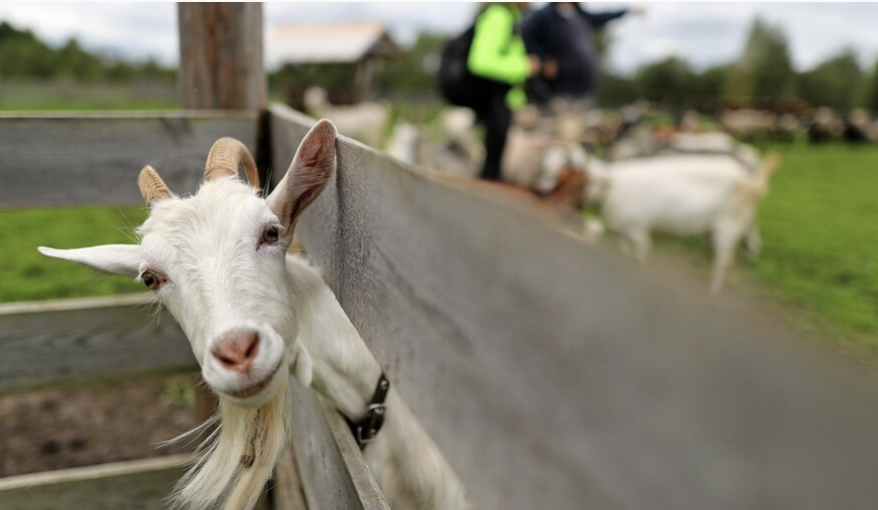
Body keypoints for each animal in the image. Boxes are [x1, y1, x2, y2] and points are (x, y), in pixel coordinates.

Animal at [583, 151, 781, 294]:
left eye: (591, 181)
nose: (585, 197)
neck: (613, 186)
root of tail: (750, 182)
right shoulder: (627, 227)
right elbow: (624, 246)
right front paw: (626, 256)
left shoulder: (637, 226)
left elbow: (642, 250)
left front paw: (639, 263)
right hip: (725, 228)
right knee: (733, 256)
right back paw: (729, 282)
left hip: (728, 225)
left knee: (724, 258)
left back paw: (713, 290)